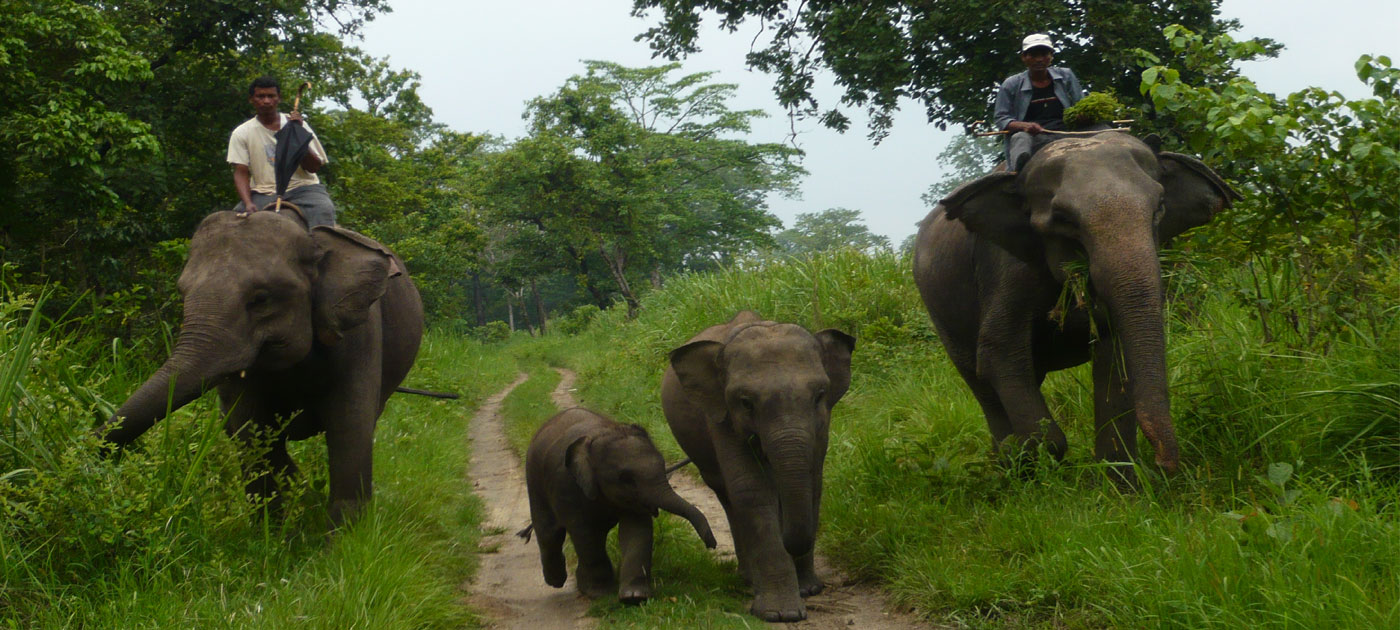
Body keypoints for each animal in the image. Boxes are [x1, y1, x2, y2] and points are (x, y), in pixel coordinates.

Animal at [95, 207, 424, 527]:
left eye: (261, 299)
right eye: (182, 293)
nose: (98, 449)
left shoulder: (359, 334)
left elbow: (350, 426)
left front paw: (344, 538)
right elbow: (251, 432)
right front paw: (274, 531)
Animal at [522, 407, 717, 603]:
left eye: (663, 465)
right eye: (626, 479)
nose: (711, 543)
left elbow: (636, 530)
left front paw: (634, 597)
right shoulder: (566, 485)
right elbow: (585, 533)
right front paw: (600, 594)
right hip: (534, 479)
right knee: (549, 532)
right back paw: (556, 581)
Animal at [662, 310, 855, 622]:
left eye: (820, 395)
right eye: (745, 402)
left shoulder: (822, 422)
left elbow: (813, 481)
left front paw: (809, 590)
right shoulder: (721, 416)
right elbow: (752, 489)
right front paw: (781, 613)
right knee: (728, 495)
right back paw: (749, 578)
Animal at [912, 131, 1239, 481]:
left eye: (1159, 208)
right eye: (1063, 219)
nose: (1163, 467)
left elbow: (1114, 357)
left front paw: (1122, 485)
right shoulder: (1005, 268)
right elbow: (998, 352)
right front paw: (1030, 458)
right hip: (939, 311)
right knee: (980, 381)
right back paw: (1007, 465)